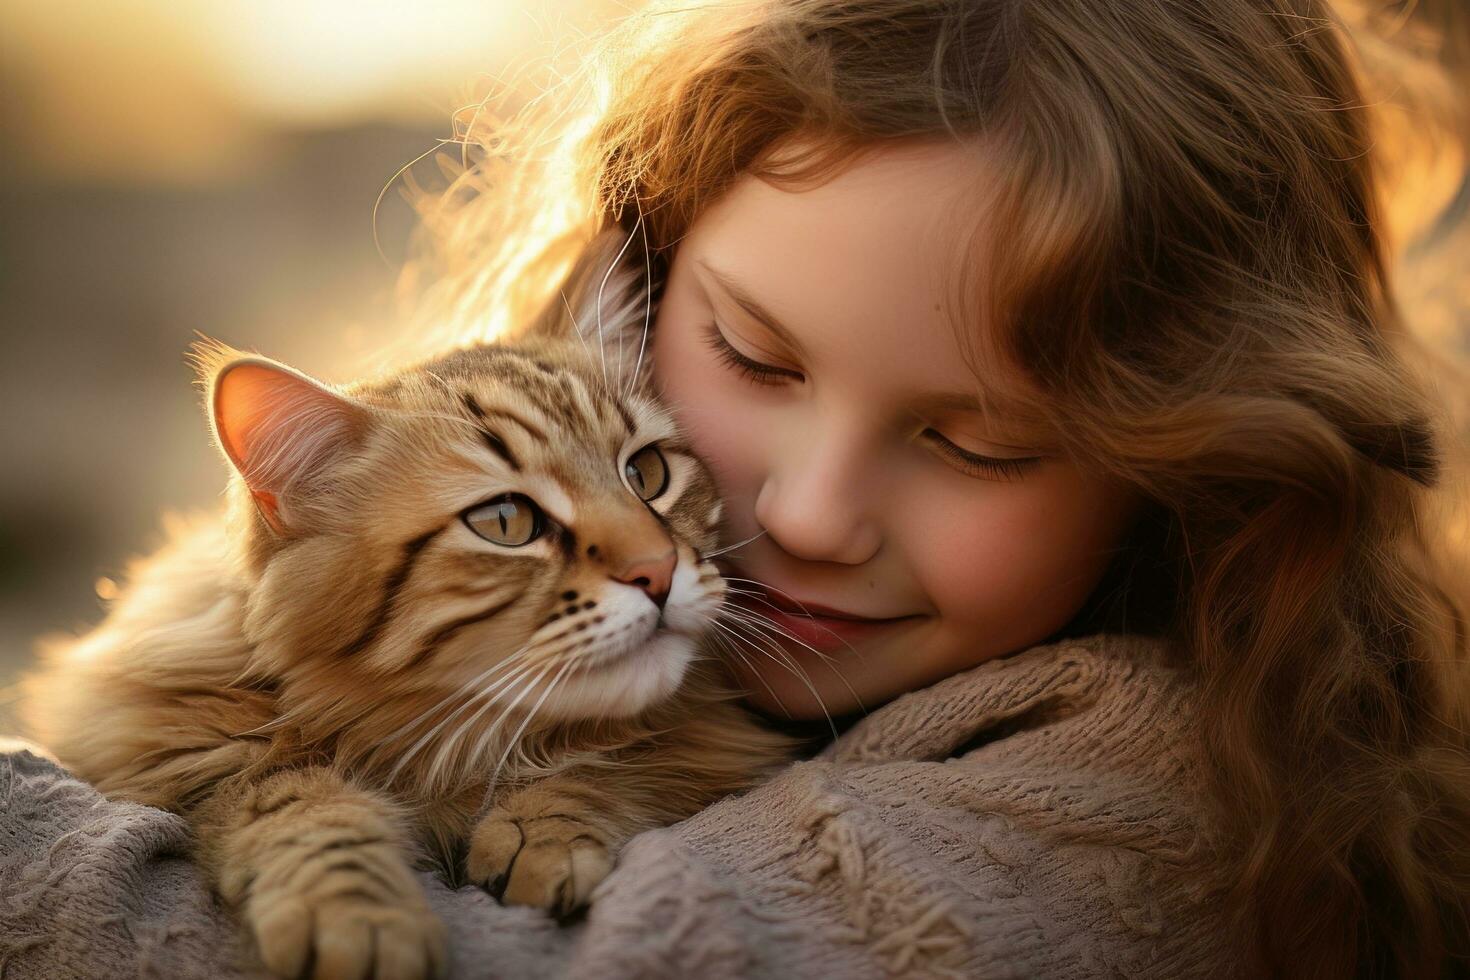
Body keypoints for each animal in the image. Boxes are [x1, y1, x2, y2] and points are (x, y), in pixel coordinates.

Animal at [17, 235, 799, 980]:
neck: (451, 750)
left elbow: (615, 764)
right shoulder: (175, 748)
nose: (657, 570)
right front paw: (356, 918)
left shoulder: (703, 741)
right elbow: (299, 805)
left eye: (648, 473)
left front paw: (541, 830)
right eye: (506, 522)